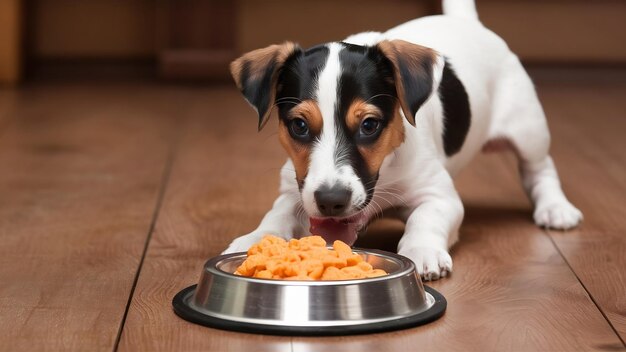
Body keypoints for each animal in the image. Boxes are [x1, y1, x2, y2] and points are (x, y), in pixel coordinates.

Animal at [221, 0, 580, 280]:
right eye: (299, 125)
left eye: (369, 125)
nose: (331, 201)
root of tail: (467, 22)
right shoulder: (295, 190)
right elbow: (277, 214)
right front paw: (255, 239)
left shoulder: (439, 195)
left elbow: (425, 218)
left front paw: (422, 249)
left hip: (528, 128)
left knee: (540, 167)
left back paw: (555, 207)